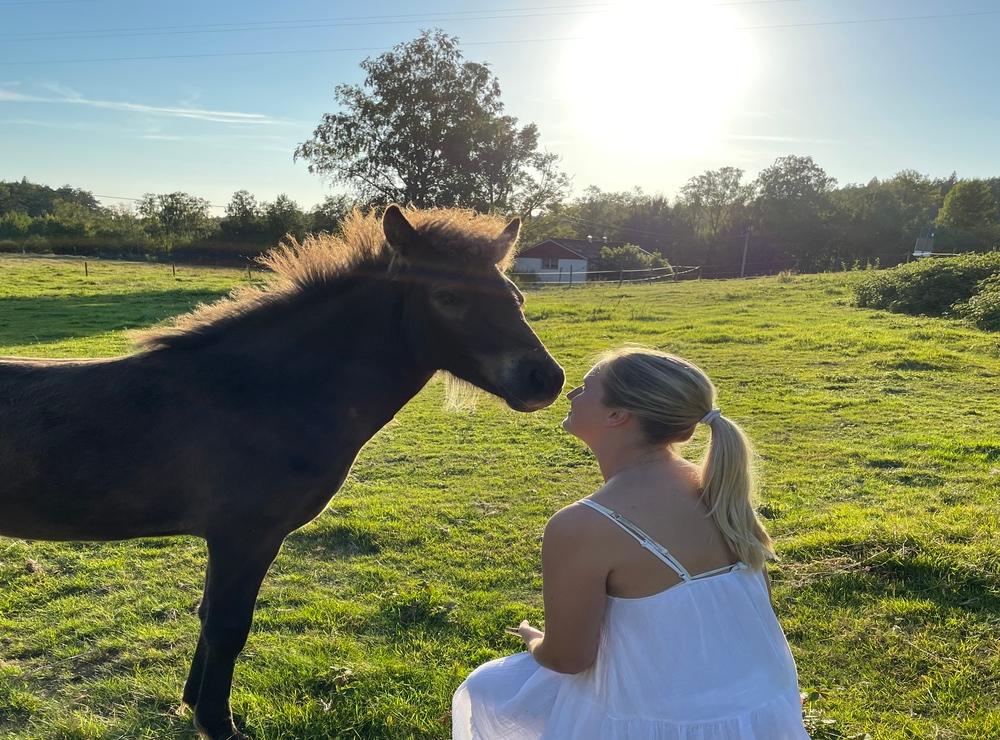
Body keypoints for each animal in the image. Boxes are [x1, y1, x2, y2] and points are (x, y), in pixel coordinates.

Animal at [0, 205, 564, 740]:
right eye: (448, 296)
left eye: (515, 296)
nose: (545, 379)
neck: (260, 394)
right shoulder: (243, 536)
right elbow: (227, 626)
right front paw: (217, 723)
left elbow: (208, 616)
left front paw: (191, 703)